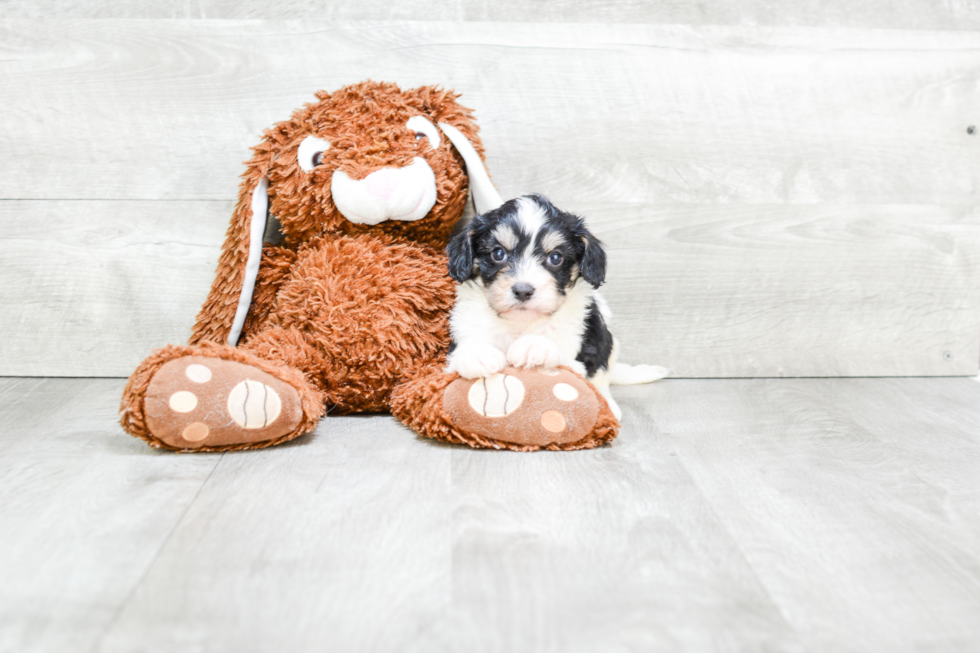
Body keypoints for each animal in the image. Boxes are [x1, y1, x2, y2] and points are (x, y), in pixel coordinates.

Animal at [446, 194, 668, 418]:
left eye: (555, 257)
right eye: (498, 254)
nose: (523, 291)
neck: (521, 324)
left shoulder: (578, 355)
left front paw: (534, 345)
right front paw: (476, 354)